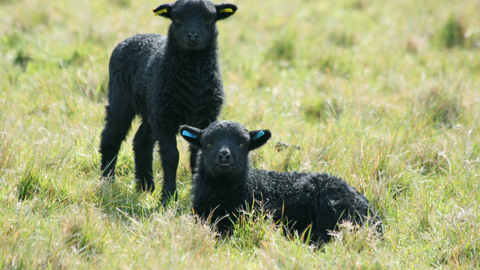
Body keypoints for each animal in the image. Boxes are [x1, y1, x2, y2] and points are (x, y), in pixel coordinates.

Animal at [100, 0, 238, 201]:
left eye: (209, 20)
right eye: (178, 19)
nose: (193, 36)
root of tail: (135, 36)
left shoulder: (204, 118)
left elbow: (197, 156)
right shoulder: (165, 119)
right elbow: (171, 156)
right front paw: (168, 196)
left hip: (152, 107)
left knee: (141, 140)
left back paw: (145, 186)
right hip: (122, 99)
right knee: (111, 136)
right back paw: (107, 181)